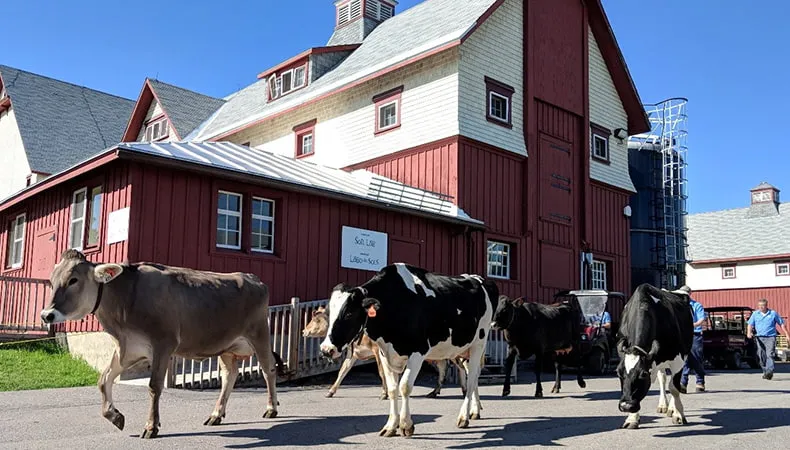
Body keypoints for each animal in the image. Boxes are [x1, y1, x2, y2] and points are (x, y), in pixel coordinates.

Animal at [40, 250, 284, 440]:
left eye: (73, 280)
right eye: (51, 281)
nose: (46, 315)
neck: (127, 298)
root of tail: (251, 277)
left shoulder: (163, 344)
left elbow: (154, 386)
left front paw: (151, 426)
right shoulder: (127, 348)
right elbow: (103, 380)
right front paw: (115, 416)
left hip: (259, 333)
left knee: (268, 369)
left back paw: (271, 408)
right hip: (226, 345)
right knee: (229, 375)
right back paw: (216, 415)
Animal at [302, 306, 464, 398]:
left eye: (316, 319)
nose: (304, 331)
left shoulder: (377, 350)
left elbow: (381, 372)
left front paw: (384, 393)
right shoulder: (353, 353)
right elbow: (343, 371)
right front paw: (330, 391)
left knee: (460, 367)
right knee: (444, 367)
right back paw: (435, 392)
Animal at [320, 262, 496, 438]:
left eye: (349, 313)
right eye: (328, 313)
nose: (326, 349)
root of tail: (477, 278)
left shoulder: (418, 352)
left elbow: (404, 387)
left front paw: (406, 425)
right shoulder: (385, 353)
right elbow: (392, 389)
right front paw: (391, 426)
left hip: (478, 344)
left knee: (472, 379)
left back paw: (464, 417)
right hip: (462, 350)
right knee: (471, 376)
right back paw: (475, 410)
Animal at [620, 284, 692, 428]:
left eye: (643, 374)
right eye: (618, 372)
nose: (625, 406)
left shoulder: (678, 360)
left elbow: (674, 388)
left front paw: (678, 414)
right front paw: (632, 418)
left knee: (672, 384)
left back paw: (671, 408)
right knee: (662, 379)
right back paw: (663, 405)